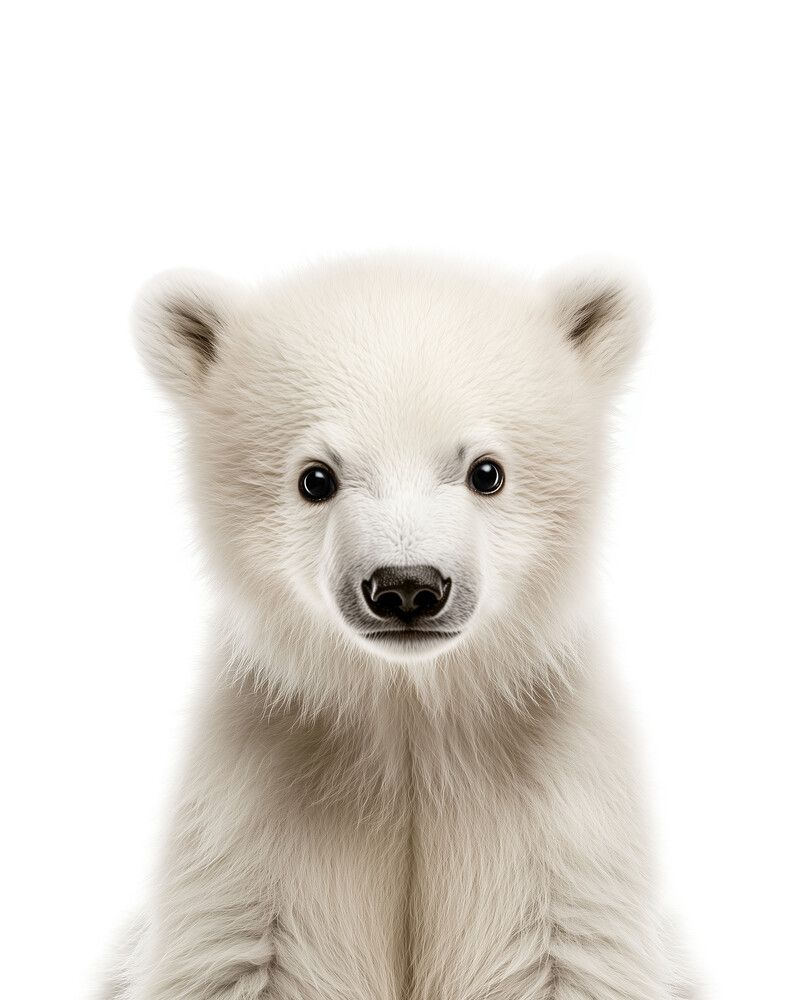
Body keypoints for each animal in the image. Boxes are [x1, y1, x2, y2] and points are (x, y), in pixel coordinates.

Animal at [103, 256, 697, 1000]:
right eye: (316, 477)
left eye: (486, 471)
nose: (408, 587)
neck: (407, 715)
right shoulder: (259, 802)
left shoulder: (555, 804)